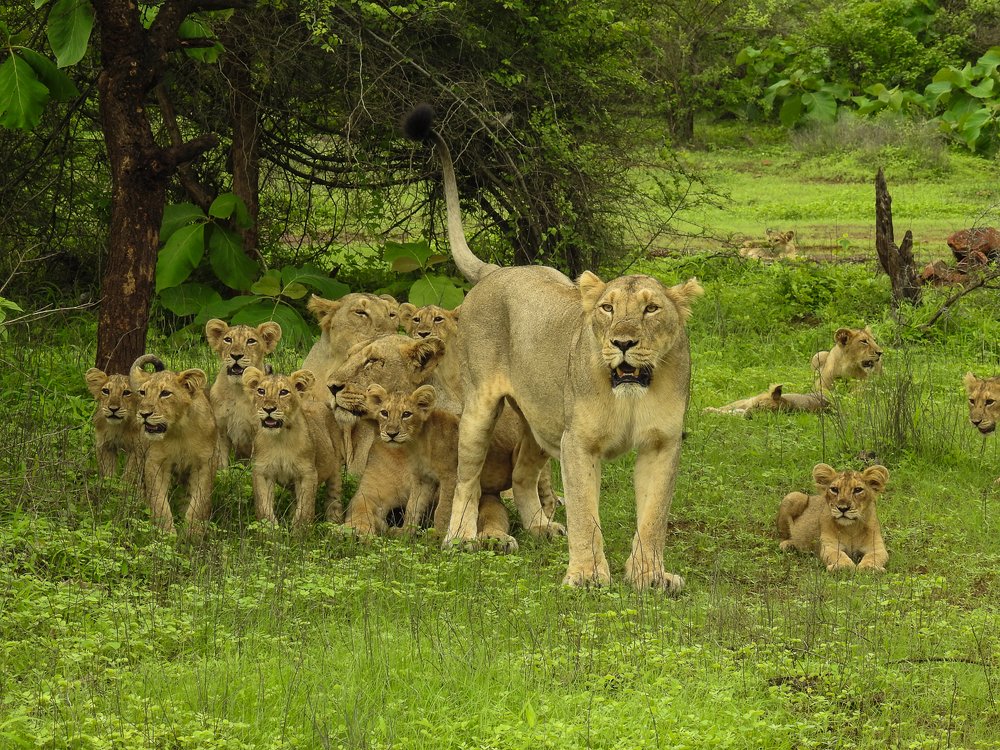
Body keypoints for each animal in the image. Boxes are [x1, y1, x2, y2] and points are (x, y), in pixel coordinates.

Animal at [130, 356, 219, 535]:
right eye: (143, 392)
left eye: (165, 393)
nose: (144, 414)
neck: (179, 431)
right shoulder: (155, 462)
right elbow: (159, 502)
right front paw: (165, 534)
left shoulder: (205, 463)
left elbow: (199, 502)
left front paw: (192, 533)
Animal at [205, 319, 282, 463]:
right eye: (228, 340)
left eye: (251, 341)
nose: (236, 356)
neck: (238, 391)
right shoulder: (221, 429)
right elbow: (222, 459)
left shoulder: (258, 430)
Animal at [242, 367, 343, 527]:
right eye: (261, 391)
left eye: (283, 392)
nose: (268, 409)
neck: (280, 439)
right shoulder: (263, 472)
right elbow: (264, 507)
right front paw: (269, 529)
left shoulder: (307, 473)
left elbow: (305, 510)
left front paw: (300, 531)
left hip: (336, 468)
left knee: (334, 496)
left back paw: (334, 524)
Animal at [404, 104, 702, 591]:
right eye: (606, 308)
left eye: (652, 308)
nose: (622, 343)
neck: (631, 390)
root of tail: (498, 270)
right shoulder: (578, 442)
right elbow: (585, 513)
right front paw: (587, 576)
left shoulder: (662, 443)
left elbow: (654, 516)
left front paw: (650, 576)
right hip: (481, 408)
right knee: (467, 478)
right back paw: (461, 538)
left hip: (540, 421)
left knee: (524, 474)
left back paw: (541, 527)